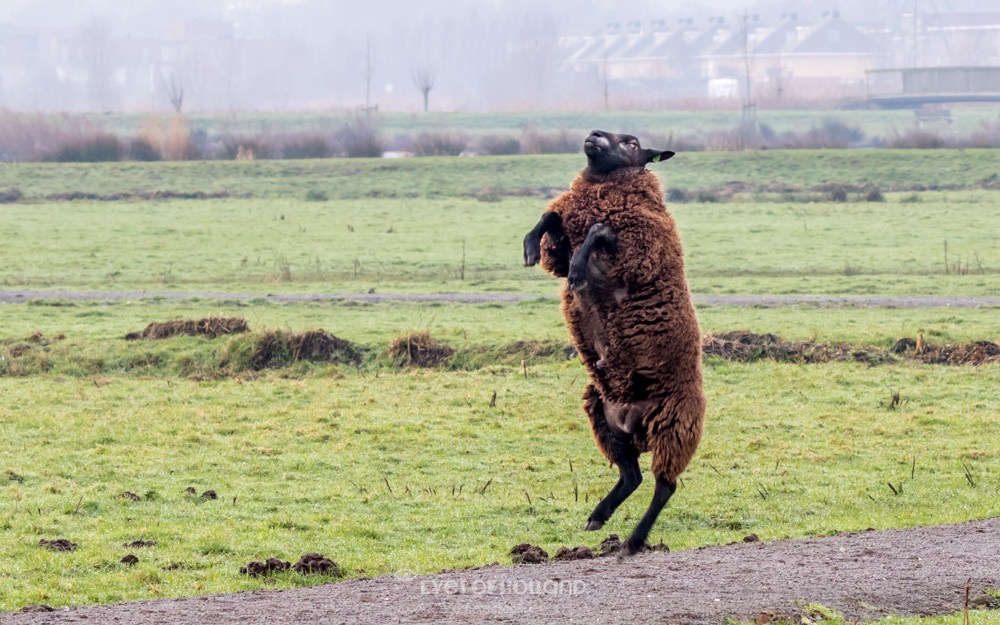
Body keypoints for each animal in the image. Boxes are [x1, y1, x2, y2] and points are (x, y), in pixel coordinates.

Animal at [524, 130, 704, 556]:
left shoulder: (634, 254)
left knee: (664, 485)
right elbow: (551, 218)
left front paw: (577, 271)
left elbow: (599, 230)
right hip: (603, 419)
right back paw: (597, 517)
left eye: (634, 143)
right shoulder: (559, 249)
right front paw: (528, 246)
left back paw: (634, 541)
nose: (593, 135)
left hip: (674, 427)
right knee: (632, 476)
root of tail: (633, 423)